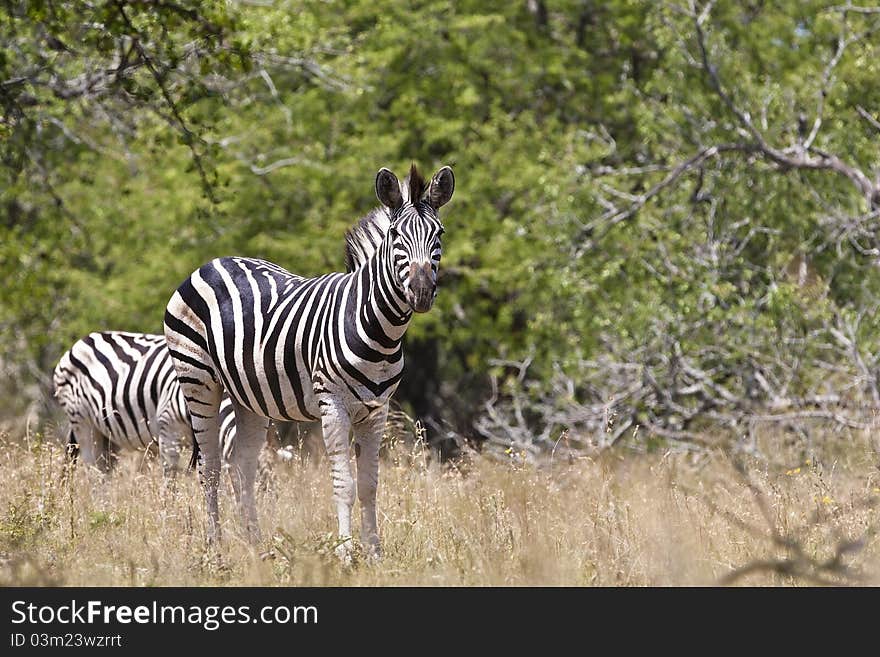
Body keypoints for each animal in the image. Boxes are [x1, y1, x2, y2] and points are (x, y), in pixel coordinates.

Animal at [53, 330, 235, 474]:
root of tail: (82, 341)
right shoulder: (167, 426)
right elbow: (171, 476)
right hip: (82, 421)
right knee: (92, 468)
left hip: (107, 433)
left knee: (104, 469)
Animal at [165, 164, 458, 552]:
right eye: (395, 234)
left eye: (439, 233)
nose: (422, 292)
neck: (378, 329)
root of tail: (212, 262)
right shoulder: (332, 403)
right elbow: (344, 484)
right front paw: (347, 552)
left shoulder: (377, 410)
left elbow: (370, 486)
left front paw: (375, 553)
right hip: (198, 380)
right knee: (209, 468)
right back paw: (216, 546)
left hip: (248, 397)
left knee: (242, 466)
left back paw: (255, 547)